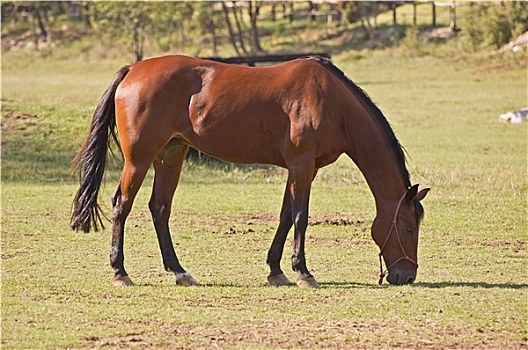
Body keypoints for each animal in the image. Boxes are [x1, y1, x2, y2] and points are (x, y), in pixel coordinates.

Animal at [70, 55, 426, 288]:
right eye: (408, 228)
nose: (406, 276)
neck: (332, 101)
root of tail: (133, 69)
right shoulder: (302, 164)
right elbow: (300, 217)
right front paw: (303, 273)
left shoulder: (300, 168)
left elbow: (286, 216)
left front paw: (276, 271)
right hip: (140, 159)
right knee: (121, 205)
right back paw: (120, 273)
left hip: (171, 155)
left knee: (159, 209)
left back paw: (180, 272)